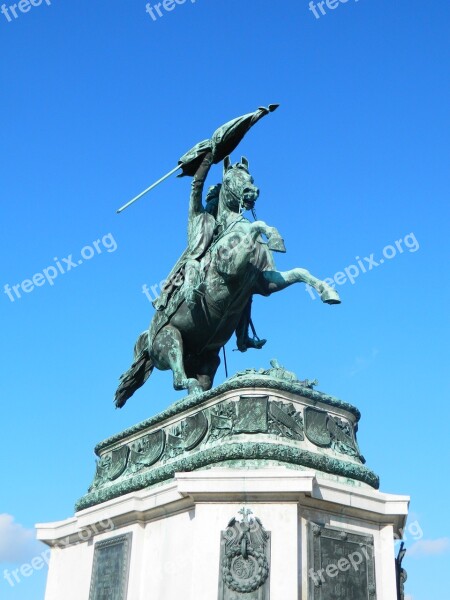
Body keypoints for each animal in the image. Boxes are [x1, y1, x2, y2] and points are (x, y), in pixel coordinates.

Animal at [114, 155, 340, 408]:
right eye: (231, 179)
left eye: (251, 177)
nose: (252, 191)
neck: (232, 228)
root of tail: (147, 344)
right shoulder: (230, 268)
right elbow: (257, 225)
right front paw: (274, 236)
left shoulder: (264, 283)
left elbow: (300, 272)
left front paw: (328, 292)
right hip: (170, 340)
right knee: (179, 378)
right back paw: (189, 389)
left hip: (208, 361)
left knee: (199, 383)